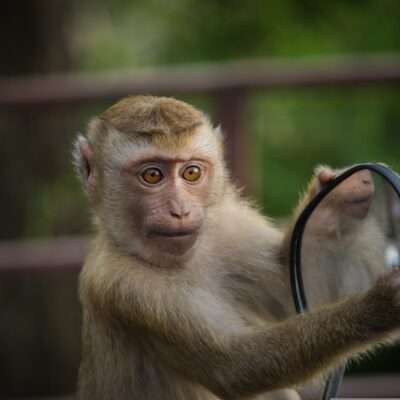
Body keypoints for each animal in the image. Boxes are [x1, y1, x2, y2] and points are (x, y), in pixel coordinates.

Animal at [74, 95, 400, 398]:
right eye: (152, 175)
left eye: (191, 173)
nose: (180, 211)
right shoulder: (122, 285)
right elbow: (234, 366)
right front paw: (378, 306)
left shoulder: (230, 226)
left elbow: (294, 288)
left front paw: (333, 204)